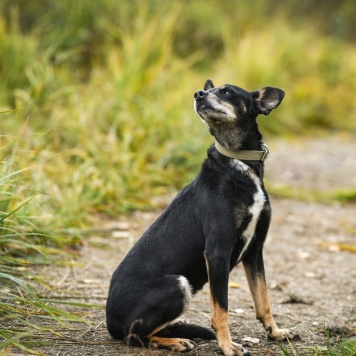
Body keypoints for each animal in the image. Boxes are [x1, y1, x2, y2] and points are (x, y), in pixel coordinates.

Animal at [105, 79, 298, 354]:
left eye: (227, 91)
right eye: (209, 90)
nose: (198, 94)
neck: (239, 162)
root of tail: (110, 323)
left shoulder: (255, 249)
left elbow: (263, 299)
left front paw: (276, 332)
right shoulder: (217, 252)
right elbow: (221, 309)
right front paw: (228, 346)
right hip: (178, 285)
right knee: (135, 336)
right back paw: (175, 341)